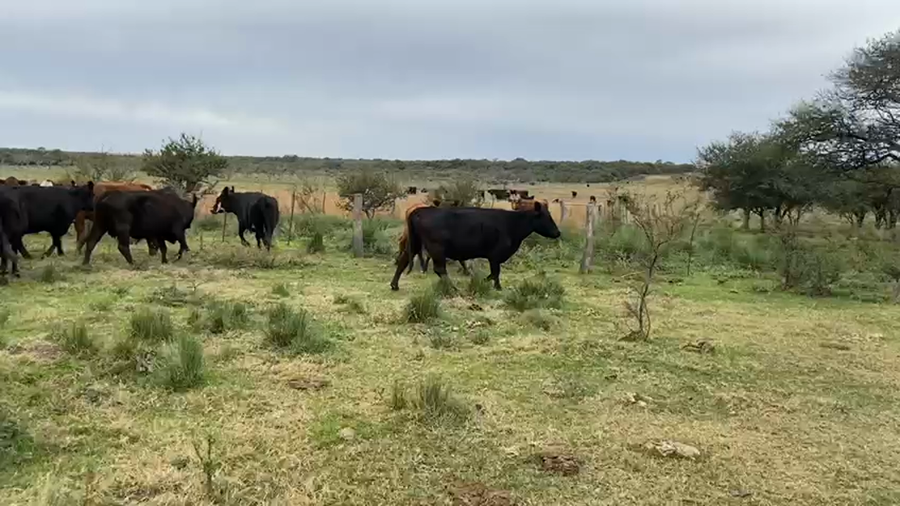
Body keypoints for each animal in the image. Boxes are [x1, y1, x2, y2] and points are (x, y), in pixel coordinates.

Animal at [390, 202, 561, 291]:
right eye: (546, 217)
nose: (558, 232)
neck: (512, 223)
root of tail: (420, 210)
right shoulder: (495, 256)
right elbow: (495, 272)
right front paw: (493, 285)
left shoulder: (494, 257)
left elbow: (495, 273)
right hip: (437, 249)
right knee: (440, 269)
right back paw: (453, 288)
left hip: (415, 244)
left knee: (403, 260)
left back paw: (394, 285)